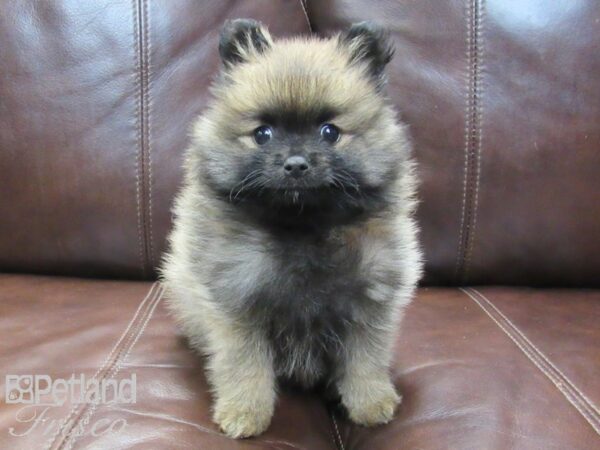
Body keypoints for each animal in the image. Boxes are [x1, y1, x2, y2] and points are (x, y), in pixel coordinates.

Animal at [159, 19, 422, 438]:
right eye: (262, 133)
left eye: (330, 132)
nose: (296, 164)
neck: (302, 227)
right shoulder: (237, 304)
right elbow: (244, 365)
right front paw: (245, 412)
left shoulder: (370, 303)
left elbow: (365, 360)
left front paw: (369, 403)